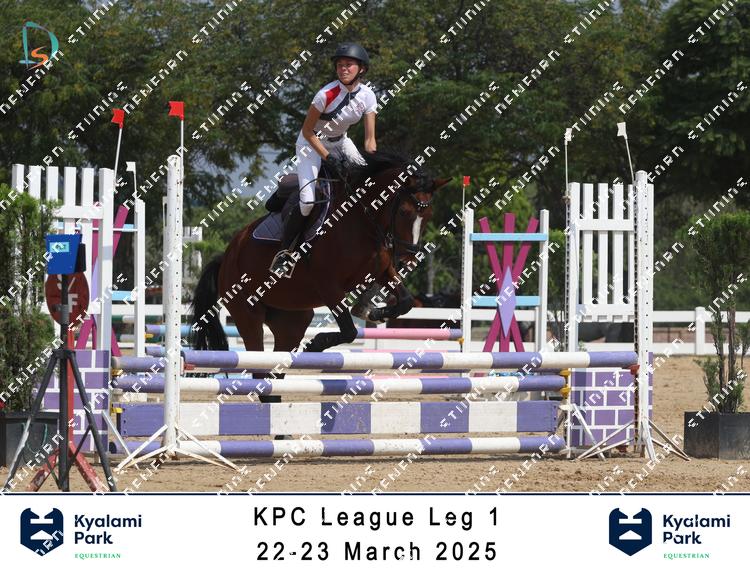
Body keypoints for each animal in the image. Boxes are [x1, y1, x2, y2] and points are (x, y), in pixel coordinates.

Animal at [189, 151, 450, 364]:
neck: (362, 222)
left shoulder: (382, 271)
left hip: (290, 319)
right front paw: (316, 344)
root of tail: (226, 258)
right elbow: (349, 331)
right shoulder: (329, 286)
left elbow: (405, 301)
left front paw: (375, 313)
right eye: (405, 212)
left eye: (429, 215)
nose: (408, 258)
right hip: (247, 314)